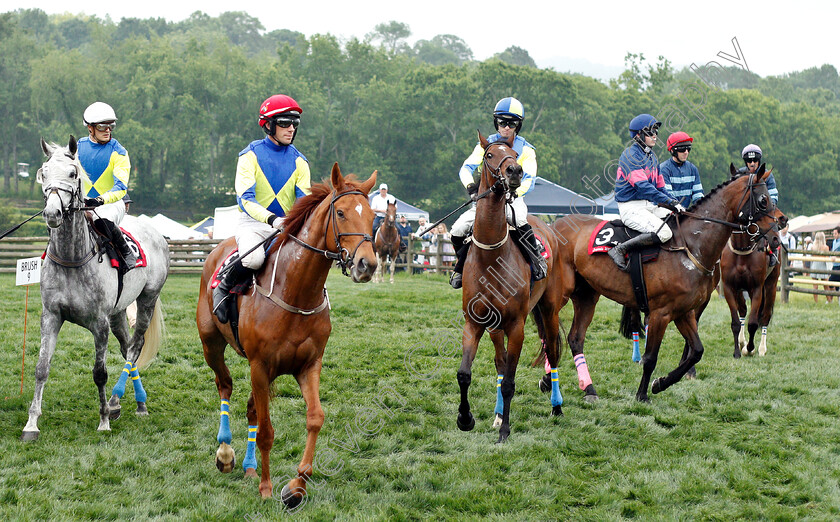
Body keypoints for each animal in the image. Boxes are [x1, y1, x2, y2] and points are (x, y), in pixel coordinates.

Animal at [22, 135, 170, 438]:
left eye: (72, 173)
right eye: (44, 173)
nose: (52, 213)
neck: (72, 258)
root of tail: (155, 232)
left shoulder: (99, 323)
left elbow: (99, 372)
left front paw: (102, 420)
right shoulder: (50, 316)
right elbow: (41, 367)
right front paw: (31, 423)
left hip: (147, 299)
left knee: (135, 347)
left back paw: (115, 402)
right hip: (118, 312)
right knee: (127, 348)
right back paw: (134, 403)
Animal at [195, 164, 376, 504]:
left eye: (374, 216)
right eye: (341, 213)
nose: (367, 265)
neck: (296, 291)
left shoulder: (308, 365)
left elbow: (315, 417)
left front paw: (298, 485)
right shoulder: (259, 365)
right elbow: (267, 431)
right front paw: (267, 489)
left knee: (251, 409)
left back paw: (250, 468)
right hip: (211, 345)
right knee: (224, 385)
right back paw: (225, 453)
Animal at [452, 132, 564, 440]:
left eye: (514, 153)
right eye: (489, 155)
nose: (514, 171)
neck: (492, 255)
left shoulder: (516, 326)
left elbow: (511, 382)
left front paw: (505, 431)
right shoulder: (474, 323)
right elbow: (465, 374)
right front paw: (465, 419)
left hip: (548, 309)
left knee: (553, 351)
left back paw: (556, 405)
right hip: (495, 327)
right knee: (500, 363)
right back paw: (499, 413)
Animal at [552, 165, 780, 400]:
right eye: (763, 200)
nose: (777, 235)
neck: (689, 247)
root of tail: (554, 224)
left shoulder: (684, 312)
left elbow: (697, 350)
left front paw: (661, 383)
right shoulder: (660, 313)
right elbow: (651, 357)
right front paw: (642, 394)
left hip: (587, 295)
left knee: (575, 339)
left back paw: (587, 389)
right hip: (560, 295)